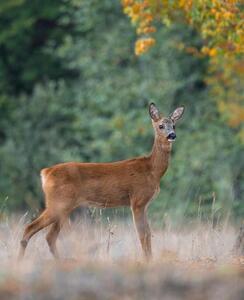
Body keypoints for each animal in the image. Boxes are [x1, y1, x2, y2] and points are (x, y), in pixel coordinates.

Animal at [18, 103, 183, 260]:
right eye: (161, 125)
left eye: (174, 125)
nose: (172, 135)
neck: (152, 170)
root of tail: (45, 173)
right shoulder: (137, 201)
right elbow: (143, 235)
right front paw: (147, 261)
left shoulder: (144, 204)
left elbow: (148, 234)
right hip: (58, 203)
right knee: (30, 228)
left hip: (64, 206)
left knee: (49, 236)